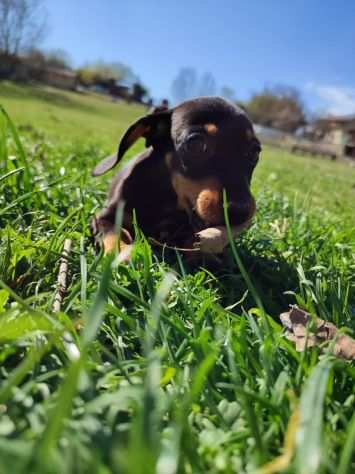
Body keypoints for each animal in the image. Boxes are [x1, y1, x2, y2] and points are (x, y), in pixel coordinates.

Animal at [91, 96, 262, 256]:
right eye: (196, 143)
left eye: (254, 152)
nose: (240, 211)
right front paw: (123, 253)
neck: (162, 197)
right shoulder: (103, 217)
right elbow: (114, 233)